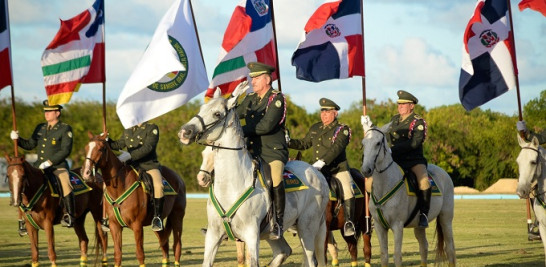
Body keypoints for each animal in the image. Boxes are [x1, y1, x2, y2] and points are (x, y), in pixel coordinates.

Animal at [81, 133, 187, 266]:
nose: (86, 173)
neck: (120, 187)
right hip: (157, 224)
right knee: (164, 245)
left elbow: (140, 254)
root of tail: (179, 178)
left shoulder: (137, 226)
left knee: (177, 246)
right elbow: (117, 255)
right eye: (86, 148)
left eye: (101, 149)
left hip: (177, 217)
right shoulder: (115, 227)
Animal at [178, 88, 328, 267]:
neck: (231, 187)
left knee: (310, 259)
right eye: (201, 108)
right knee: (283, 251)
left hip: (307, 228)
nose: (184, 132)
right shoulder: (213, 235)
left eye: (217, 114)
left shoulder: (251, 236)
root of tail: (316, 170)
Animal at [356, 119, 454, 267]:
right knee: (423, 247)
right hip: (419, 226)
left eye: (378, 143)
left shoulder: (398, 225)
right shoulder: (379, 227)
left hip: (445, 219)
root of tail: (444, 173)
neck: (385, 185)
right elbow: (384, 256)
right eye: (363, 144)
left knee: (450, 248)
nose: (366, 170)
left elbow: (397, 256)